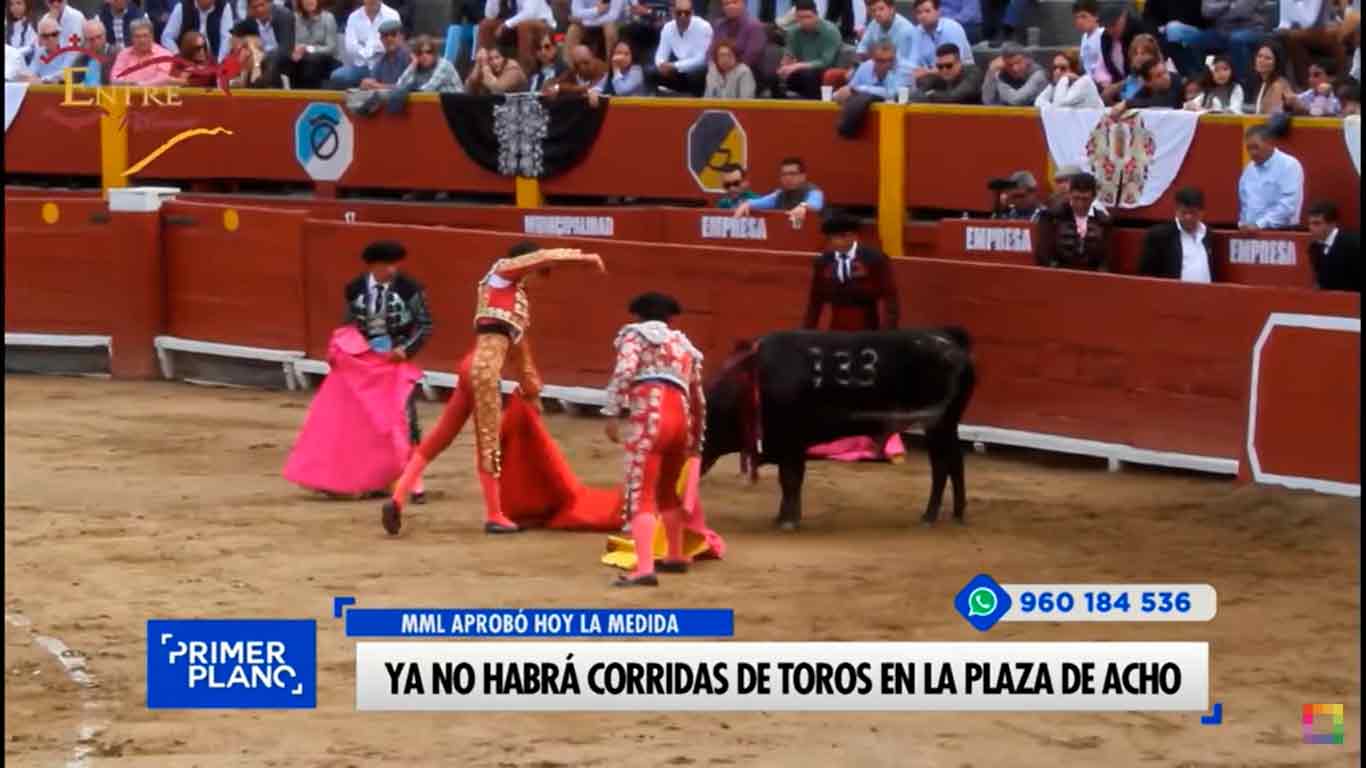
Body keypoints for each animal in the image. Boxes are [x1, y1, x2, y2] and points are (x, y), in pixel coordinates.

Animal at [699, 325, 978, 530]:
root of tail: (952, 342)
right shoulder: (790, 445)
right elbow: (790, 480)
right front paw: (784, 517)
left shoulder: (791, 443)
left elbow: (790, 480)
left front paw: (787, 521)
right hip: (945, 424)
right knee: (953, 462)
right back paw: (955, 513)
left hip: (939, 423)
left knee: (943, 465)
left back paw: (930, 516)